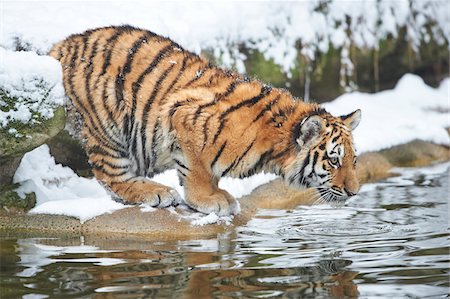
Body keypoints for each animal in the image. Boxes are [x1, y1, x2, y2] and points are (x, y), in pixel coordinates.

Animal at [48, 25, 362, 216]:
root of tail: (62, 46)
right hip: (108, 122)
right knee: (110, 175)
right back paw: (156, 192)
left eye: (353, 160)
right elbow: (197, 169)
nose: (355, 191)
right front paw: (211, 199)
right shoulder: (183, 116)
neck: (272, 145)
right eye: (333, 160)